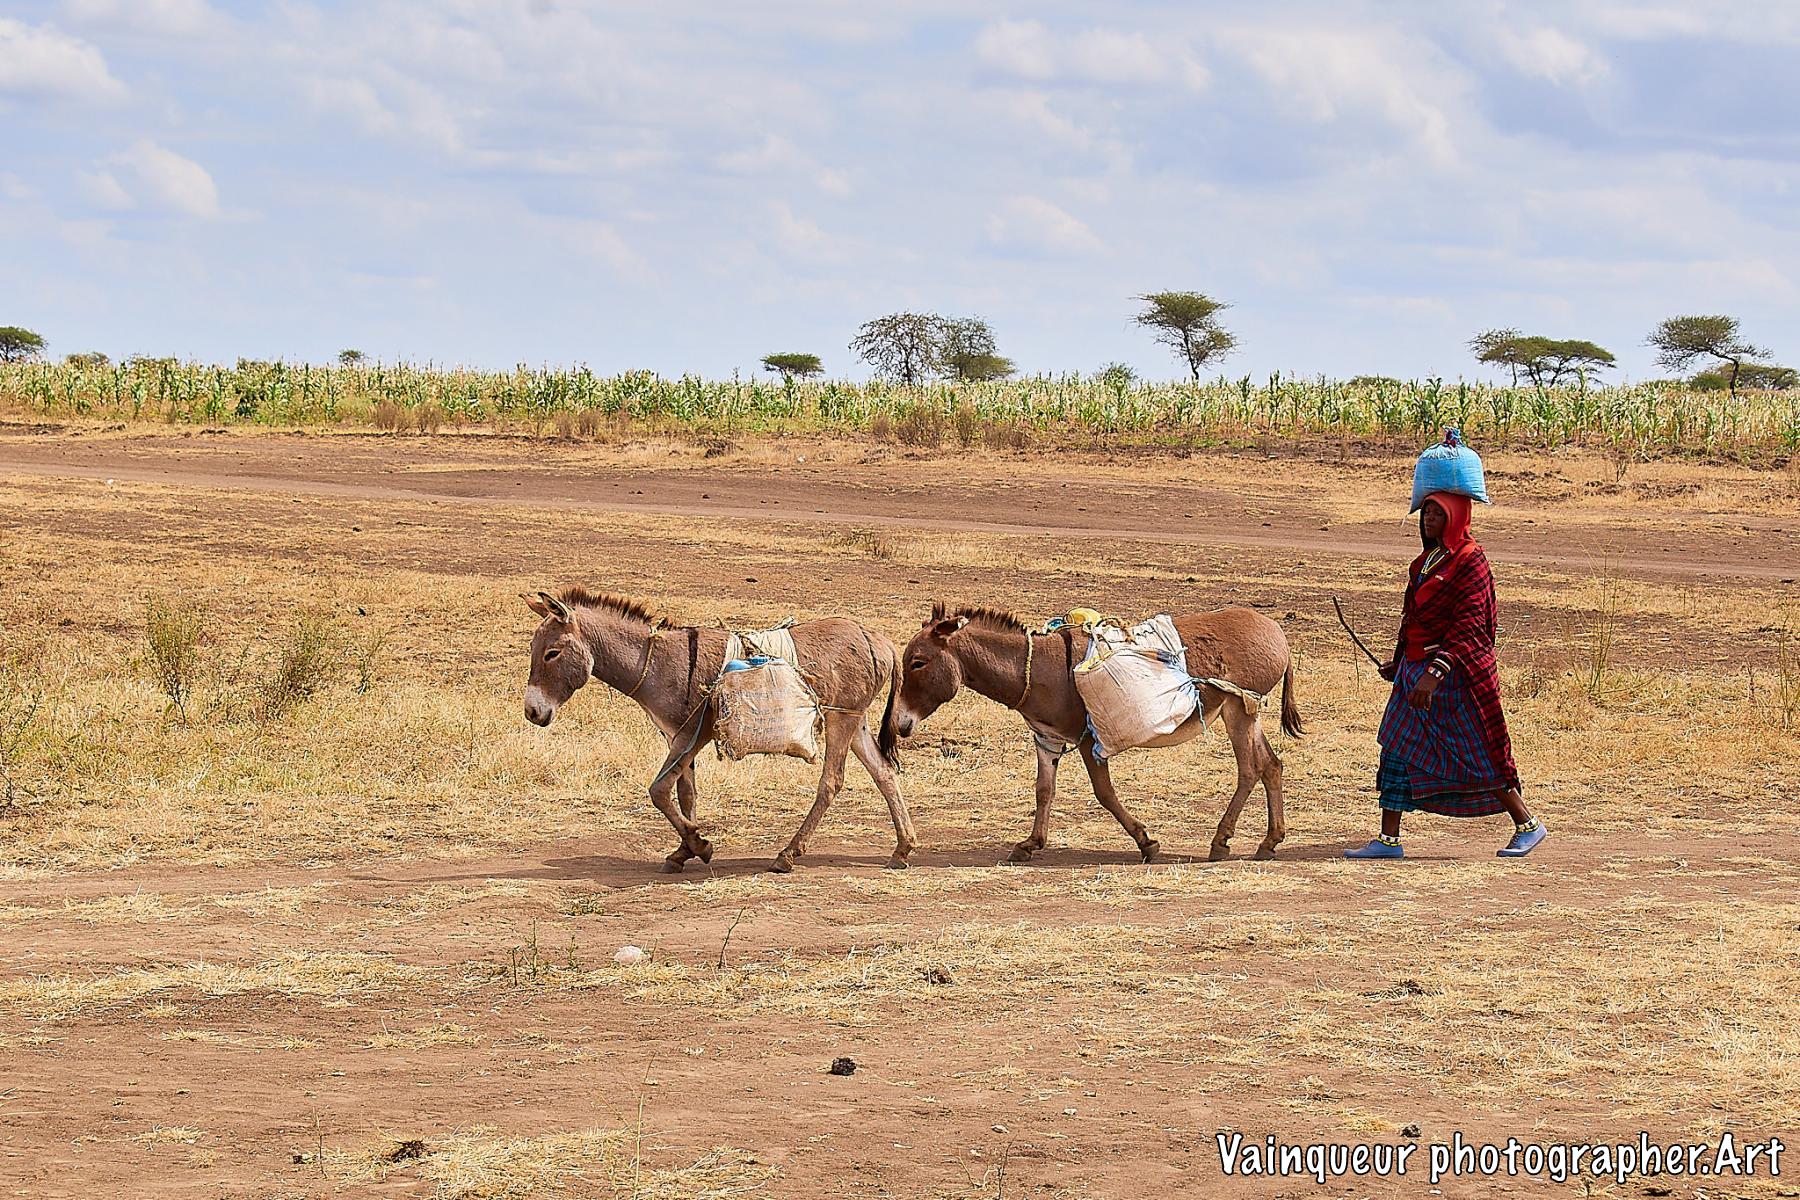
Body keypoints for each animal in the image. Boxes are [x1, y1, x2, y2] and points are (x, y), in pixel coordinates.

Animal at [522, 588, 918, 873]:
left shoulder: (692, 735)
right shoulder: (678, 736)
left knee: (831, 782)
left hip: (840, 719)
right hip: (854, 718)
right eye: (534, 649)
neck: (656, 663)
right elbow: (686, 793)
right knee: (884, 773)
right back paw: (902, 849)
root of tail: (878, 638)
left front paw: (700, 845)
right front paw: (684, 850)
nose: (532, 712)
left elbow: (659, 791)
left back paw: (787, 855)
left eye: (552, 653)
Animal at [887, 603, 1303, 863]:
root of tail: (1278, 632)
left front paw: (1146, 843)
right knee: (1272, 766)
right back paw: (1269, 842)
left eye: (917, 663)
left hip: (1238, 711)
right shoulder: (1047, 738)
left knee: (1249, 769)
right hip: (1247, 712)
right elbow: (1044, 791)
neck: (1038, 669)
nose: (899, 725)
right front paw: (1029, 844)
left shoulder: (1089, 740)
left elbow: (1104, 794)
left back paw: (1221, 842)